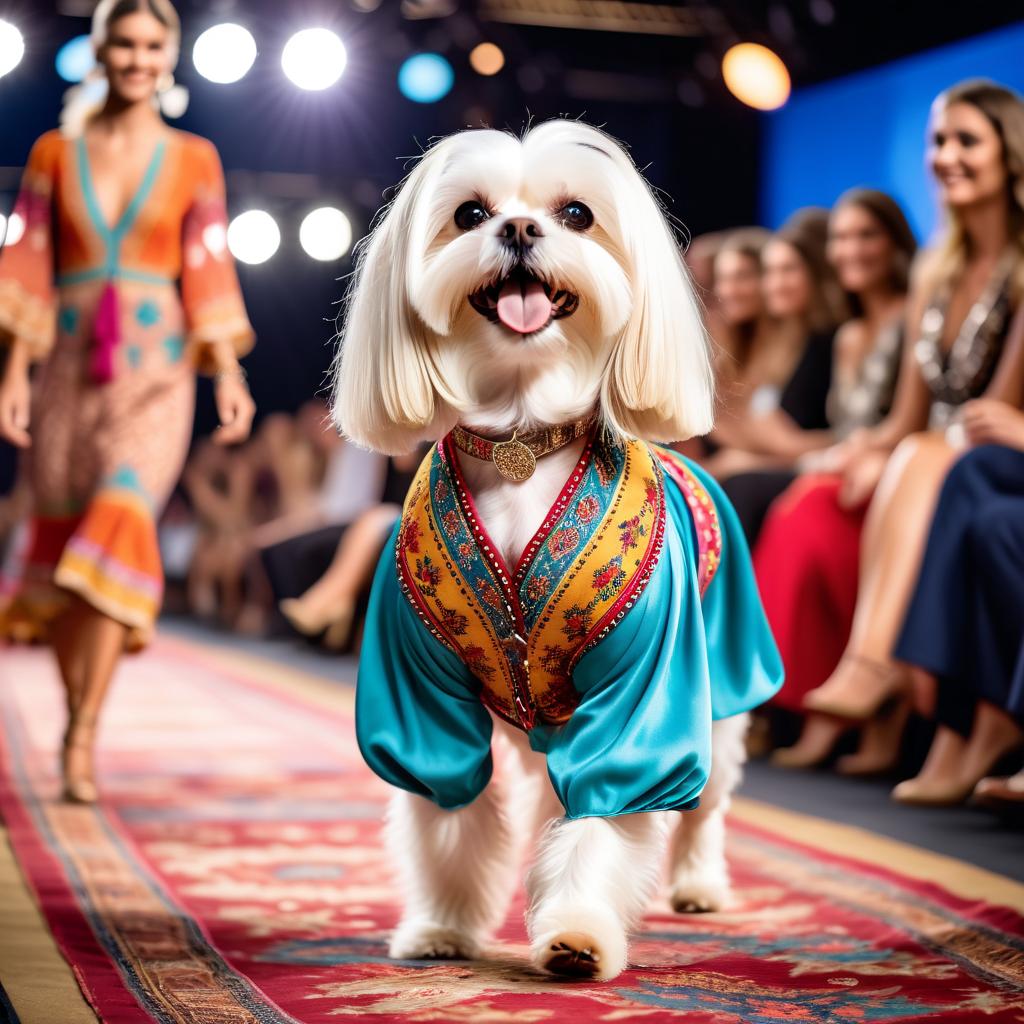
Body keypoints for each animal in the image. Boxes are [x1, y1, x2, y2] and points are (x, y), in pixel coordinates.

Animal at [333, 119, 753, 983]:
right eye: (469, 213)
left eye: (576, 214)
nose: (521, 229)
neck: (524, 435)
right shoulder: (421, 697)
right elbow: (450, 817)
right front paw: (442, 926)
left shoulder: (644, 696)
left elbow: (601, 816)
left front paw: (578, 933)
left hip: (724, 689)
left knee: (704, 808)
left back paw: (699, 884)